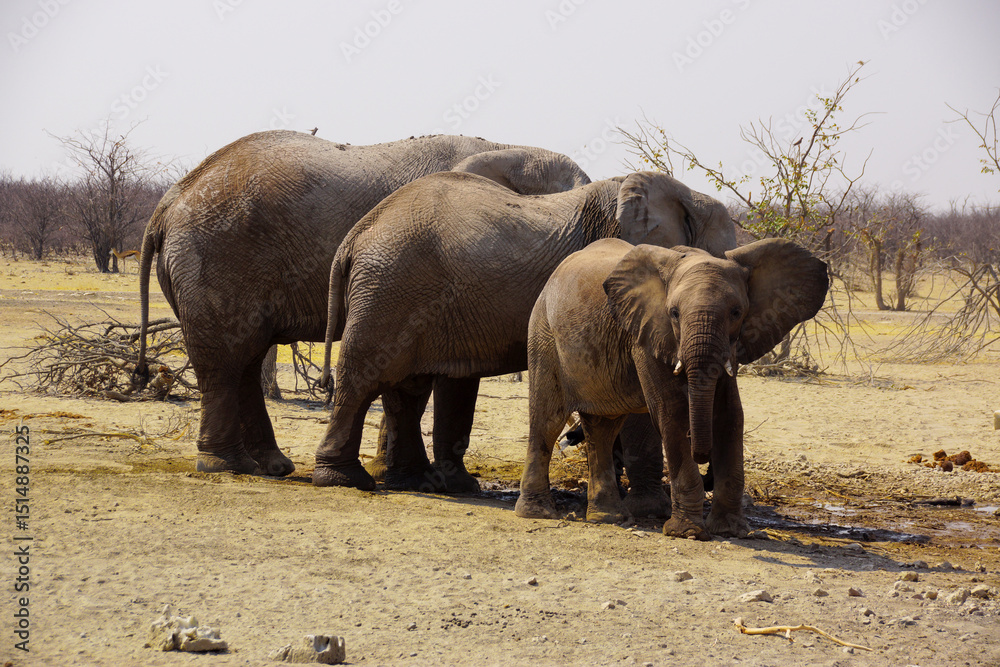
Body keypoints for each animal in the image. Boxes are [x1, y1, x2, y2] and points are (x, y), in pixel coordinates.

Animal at [134, 129, 590, 477]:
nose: (573, 439)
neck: (507, 145)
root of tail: (167, 202)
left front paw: (394, 471)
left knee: (245, 357)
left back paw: (273, 466)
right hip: (215, 256)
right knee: (227, 359)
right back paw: (226, 466)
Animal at [314, 169, 737, 500]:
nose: (708, 476)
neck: (683, 195)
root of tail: (356, 233)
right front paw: (646, 504)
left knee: (408, 389)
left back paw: (423, 483)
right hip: (388, 287)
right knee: (364, 378)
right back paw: (344, 479)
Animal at [514, 238, 829, 538]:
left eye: (737, 312)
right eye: (674, 313)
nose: (702, 457)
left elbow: (729, 415)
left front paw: (732, 531)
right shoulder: (646, 333)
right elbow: (672, 412)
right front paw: (688, 533)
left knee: (603, 427)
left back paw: (608, 518)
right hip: (543, 333)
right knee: (548, 419)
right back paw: (537, 513)